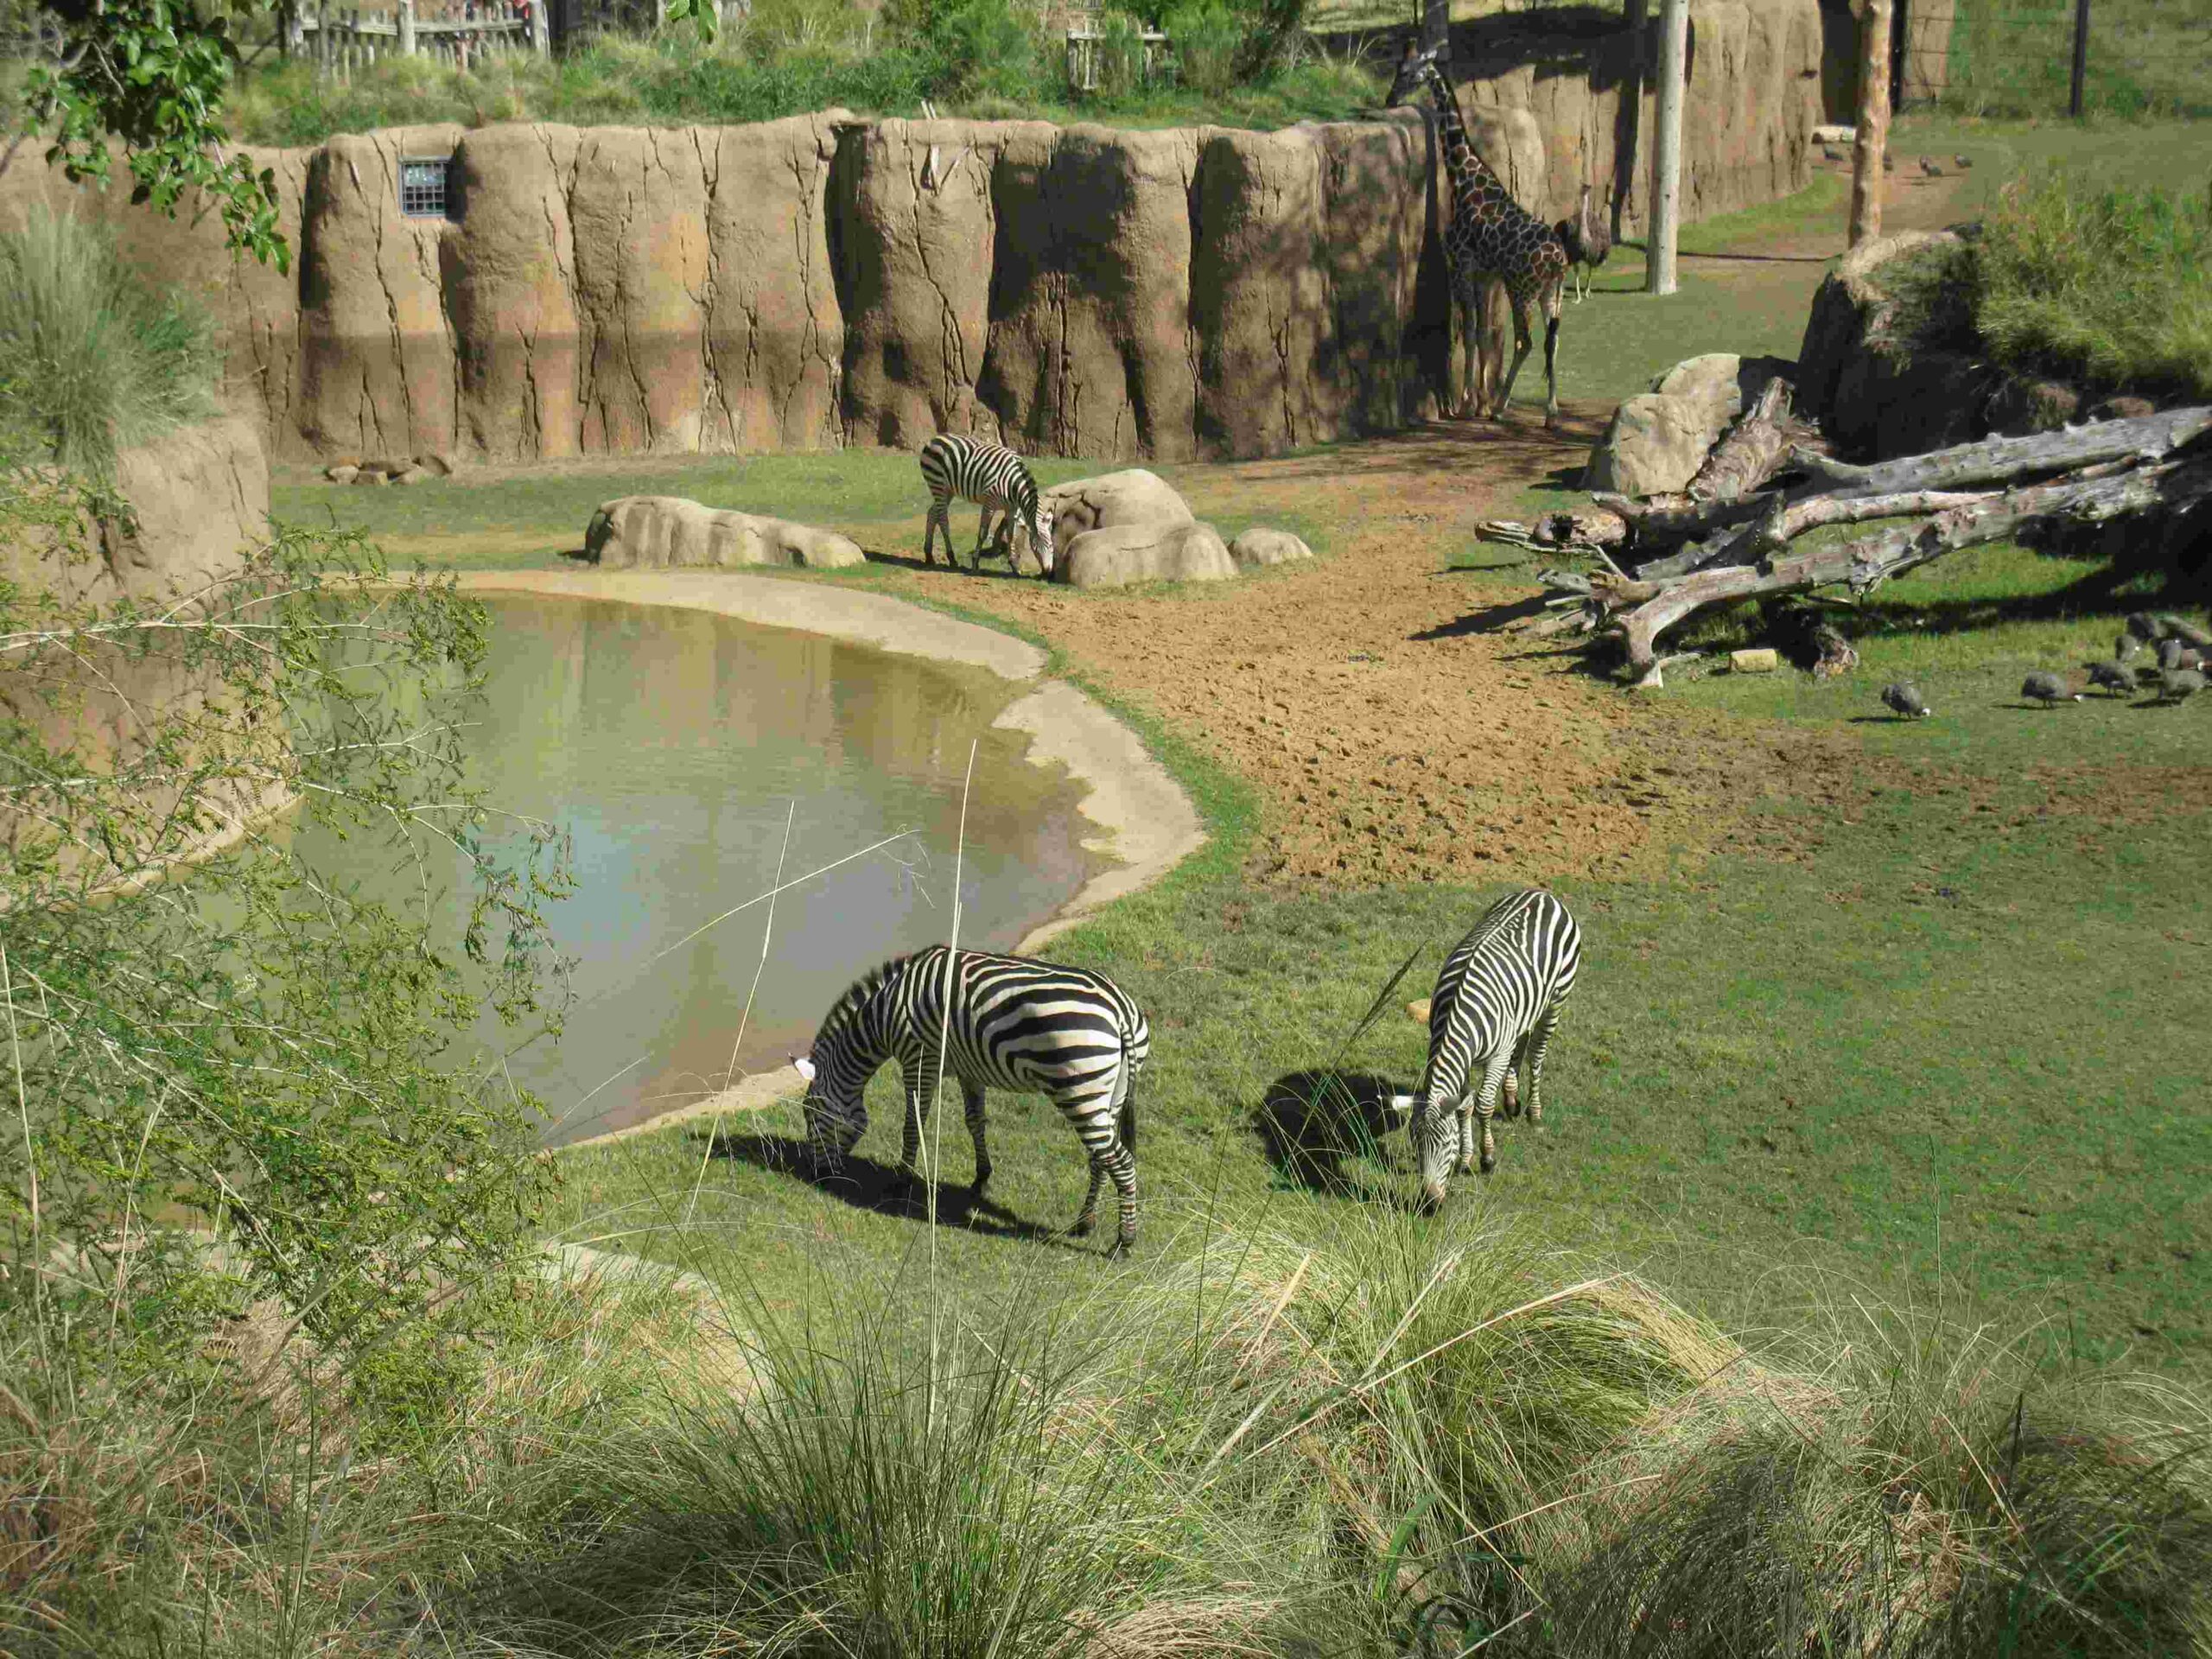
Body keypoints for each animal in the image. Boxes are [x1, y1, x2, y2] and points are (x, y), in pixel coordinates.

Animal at [791, 942, 1141, 1256]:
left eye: (810, 1114)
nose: (816, 1176)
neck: (884, 1015)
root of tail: (1119, 1008)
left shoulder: (919, 1060)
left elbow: (912, 1125)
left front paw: (901, 1181)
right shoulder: (969, 1069)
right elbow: (975, 1121)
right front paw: (981, 1178)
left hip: (1079, 1091)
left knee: (1121, 1161)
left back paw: (1124, 1242)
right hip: (1107, 1096)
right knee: (1100, 1157)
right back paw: (1085, 1222)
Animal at [915, 435, 1052, 579]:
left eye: (1051, 546)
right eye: (1034, 549)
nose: (1047, 572)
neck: (1013, 485)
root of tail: (934, 439)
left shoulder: (1011, 508)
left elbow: (1011, 535)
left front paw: (1014, 566)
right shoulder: (989, 504)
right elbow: (983, 533)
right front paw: (975, 564)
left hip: (948, 490)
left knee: (932, 513)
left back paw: (929, 556)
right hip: (938, 485)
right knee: (942, 520)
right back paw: (951, 558)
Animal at [1389, 41, 1566, 429]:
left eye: (1407, 72)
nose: (1390, 97)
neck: (1465, 179)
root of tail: (1559, 261)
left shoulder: (1462, 264)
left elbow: (1468, 332)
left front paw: (1469, 402)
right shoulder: (1486, 274)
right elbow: (1483, 333)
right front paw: (1478, 400)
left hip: (1522, 289)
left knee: (1526, 342)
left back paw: (1501, 407)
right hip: (1551, 294)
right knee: (1552, 342)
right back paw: (1550, 412)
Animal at [1389, 898, 1583, 1211]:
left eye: (1447, 1144)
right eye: (1415, 1145)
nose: (1430, 1205)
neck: (1457, 1014)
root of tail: (1542, 895)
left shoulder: (1497, 1056)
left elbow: (1483, 1105)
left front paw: (1487, 1157)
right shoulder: (1464, 1059)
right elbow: (1465, 1106)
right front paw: (1466, 1159)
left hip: (1557, 999)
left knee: (1537, 1053)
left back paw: (1534, 1112)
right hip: (1524, 1009)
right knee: (1522, 1042)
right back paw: (1512, 1099)